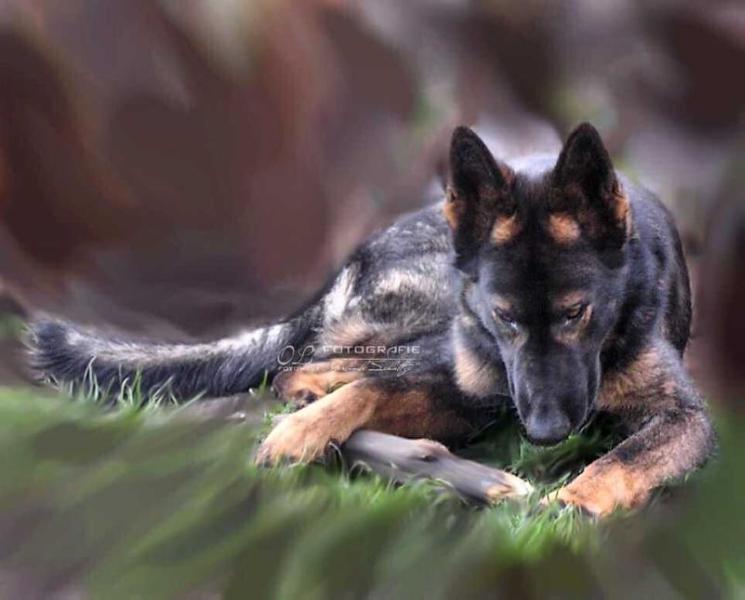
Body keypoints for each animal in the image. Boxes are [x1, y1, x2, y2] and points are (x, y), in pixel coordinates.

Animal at [29, 123, 715, 516]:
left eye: (577, 313)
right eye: (504, 318)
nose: (545, 434)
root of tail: (362, 251)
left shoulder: (686, 419)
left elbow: (631, 453)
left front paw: (579, 498)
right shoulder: (469, 392)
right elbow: (372, 389)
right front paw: (303, 431)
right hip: (439, 315)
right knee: (321, 366)